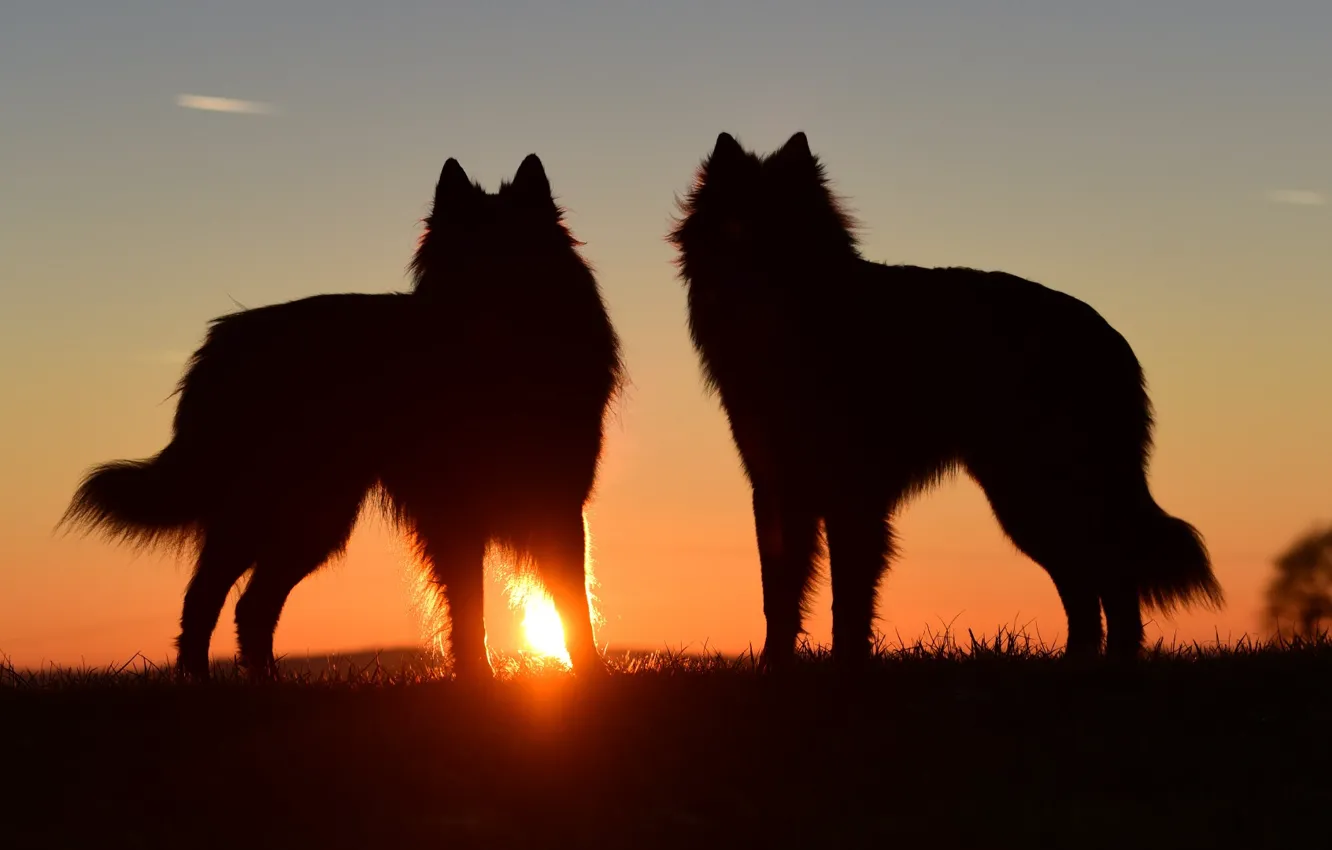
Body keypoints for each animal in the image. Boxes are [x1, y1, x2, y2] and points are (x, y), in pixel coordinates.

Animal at [61, 154, 624, 680]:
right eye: (464, 262)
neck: (499, 369)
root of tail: (220, 341)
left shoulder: (559, 504)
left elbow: (572, 600)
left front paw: (588, 675)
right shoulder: (454, 513)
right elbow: (470, 605)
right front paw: (477, 678)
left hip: (315, 517)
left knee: (250, 605)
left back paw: (266, 684)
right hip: (275, 510)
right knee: (206, 598)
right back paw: (203, 682)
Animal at [669, 131, 1221, 668]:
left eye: (785, 226)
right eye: (737, 225)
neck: (797, 330)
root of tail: (1109, 336)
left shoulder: (853, 496)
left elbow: (849, 597)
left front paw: (847, 666)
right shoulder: (779, 491)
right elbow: (779, 594)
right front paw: (774, 669)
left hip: (1040, 491)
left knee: (1111, 573)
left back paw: (1114, 662)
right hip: (1027, 497)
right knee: (1085, 582)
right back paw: (1080, 662)